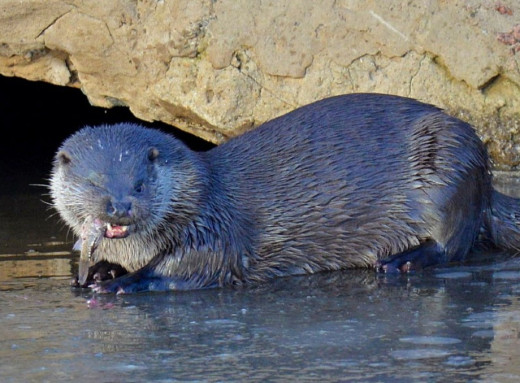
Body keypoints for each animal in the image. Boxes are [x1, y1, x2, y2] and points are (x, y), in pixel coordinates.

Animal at [50, 93, 520, 294]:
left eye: (139, 183)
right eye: (94, 183)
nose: (120, 207)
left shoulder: (214, 229)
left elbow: (194, 268)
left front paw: (124, 283)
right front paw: (100, 272)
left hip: (451, 164)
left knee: (454, 242)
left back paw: (401, 260)